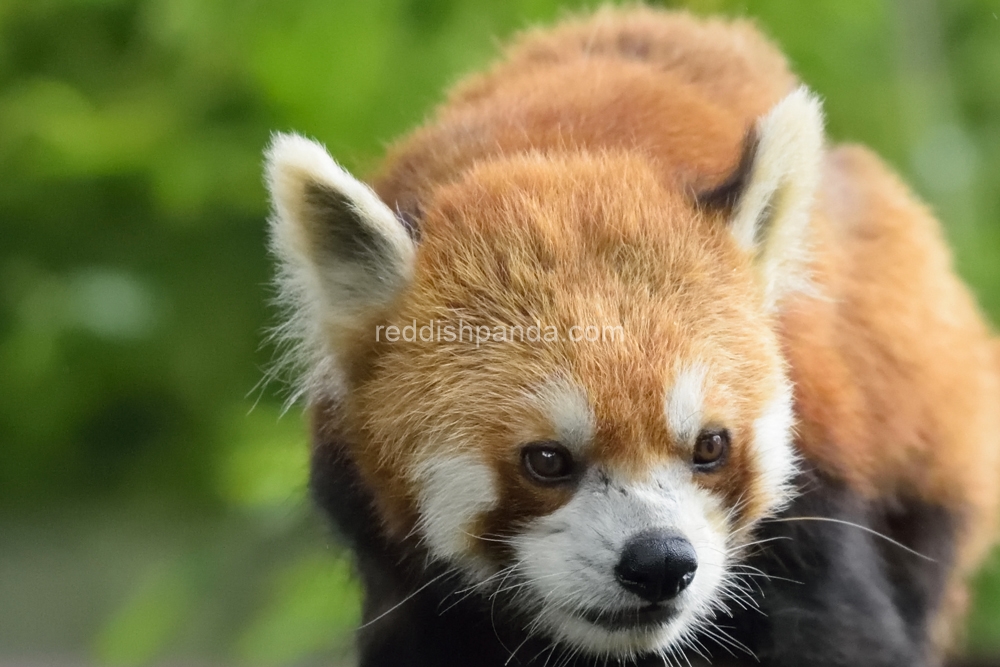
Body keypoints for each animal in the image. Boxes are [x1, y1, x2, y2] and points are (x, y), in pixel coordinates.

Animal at [264, 6, 1000, 667]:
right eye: (546, 459)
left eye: (711, 445)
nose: (660, 561)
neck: (567, 153)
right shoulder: (399, 569)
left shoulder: (819, 498)